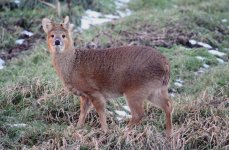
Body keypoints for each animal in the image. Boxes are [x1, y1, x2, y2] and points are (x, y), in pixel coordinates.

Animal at [42, 15, 173, 135]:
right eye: (52, 35)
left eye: (63, 35)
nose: (57, 42)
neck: (72, 65)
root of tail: (165, 64)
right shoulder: (84, 95)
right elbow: (83, 112)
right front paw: (77, 128)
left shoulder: (93, 91)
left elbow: (100, 111)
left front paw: (105, 131)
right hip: (154, 90)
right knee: (168, 105)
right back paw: (169, 133)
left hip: (135, 90)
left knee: (139, 114)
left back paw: (123, 131)